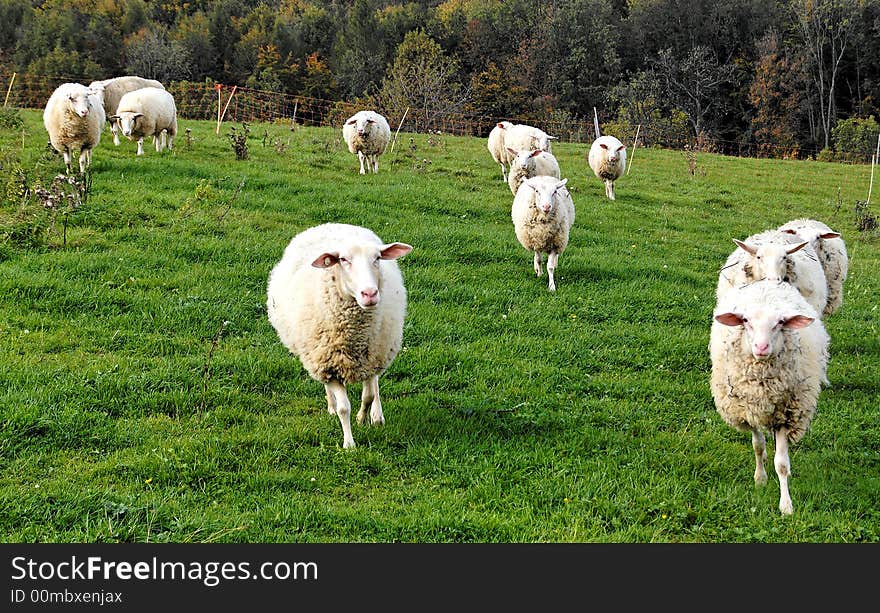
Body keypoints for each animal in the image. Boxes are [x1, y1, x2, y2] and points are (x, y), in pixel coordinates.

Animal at [264, 222, 412, 448]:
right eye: (343, 260)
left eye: (377, 258)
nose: (369, 294)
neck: (355, 336)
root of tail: (330, 224)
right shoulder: (329, 365)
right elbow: (344, 407)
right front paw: (349, 444)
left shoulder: (372, 358)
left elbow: (369, 395)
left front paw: (363, 418)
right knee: (330, 390)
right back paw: (332, 407)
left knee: (376, 384)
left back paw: (377, 416)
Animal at [708, 280, 832, 512]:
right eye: (745, 321)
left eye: (780, 322)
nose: (761, 347)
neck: (762, 388)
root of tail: (769, 281)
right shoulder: (748, 411)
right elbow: (758, 446)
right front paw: (760, 479)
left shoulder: (786, 416)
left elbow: (781, 464)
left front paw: (786, 505)